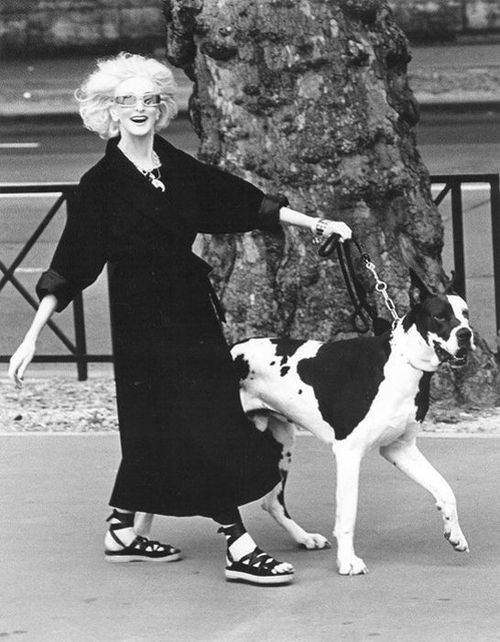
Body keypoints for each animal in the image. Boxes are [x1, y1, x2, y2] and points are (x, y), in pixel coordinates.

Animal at [230, 270, 472, 576]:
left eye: (465, 314)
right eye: (440, 316)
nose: (466, 334)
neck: (401, 362)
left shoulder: (400, 448)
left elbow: (445, 488)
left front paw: (456, 533)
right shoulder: (348, 453)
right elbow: (347, 516)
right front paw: (347, 560)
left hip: (282, 442)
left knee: (272, 501)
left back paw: (304, 537)